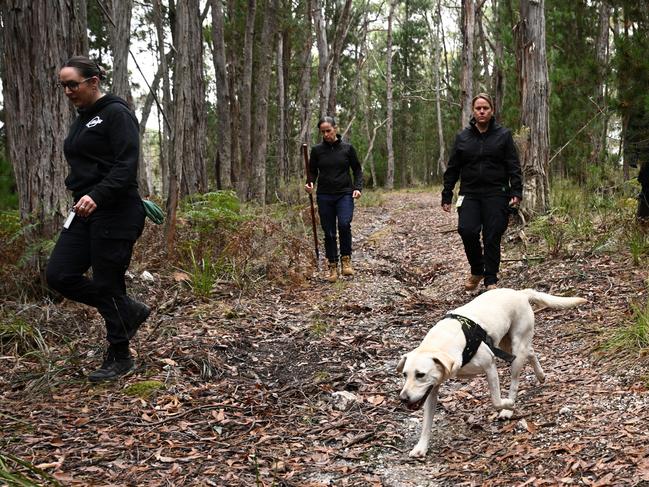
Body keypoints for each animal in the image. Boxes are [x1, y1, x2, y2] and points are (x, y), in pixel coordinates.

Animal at [398, 288, 584, 460]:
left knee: (515, 380)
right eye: (405, 375)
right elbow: (426, 423)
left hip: (516, 349)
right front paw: (421, 447)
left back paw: (508, 409)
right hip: (506, 345)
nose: (403, 399)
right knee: (531, 352)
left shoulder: (490, 366)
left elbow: (496, 401)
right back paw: (540, 374)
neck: (442, 343)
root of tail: (520, 293)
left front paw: (507, 404)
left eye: (420, 374)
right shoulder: (432, 389)